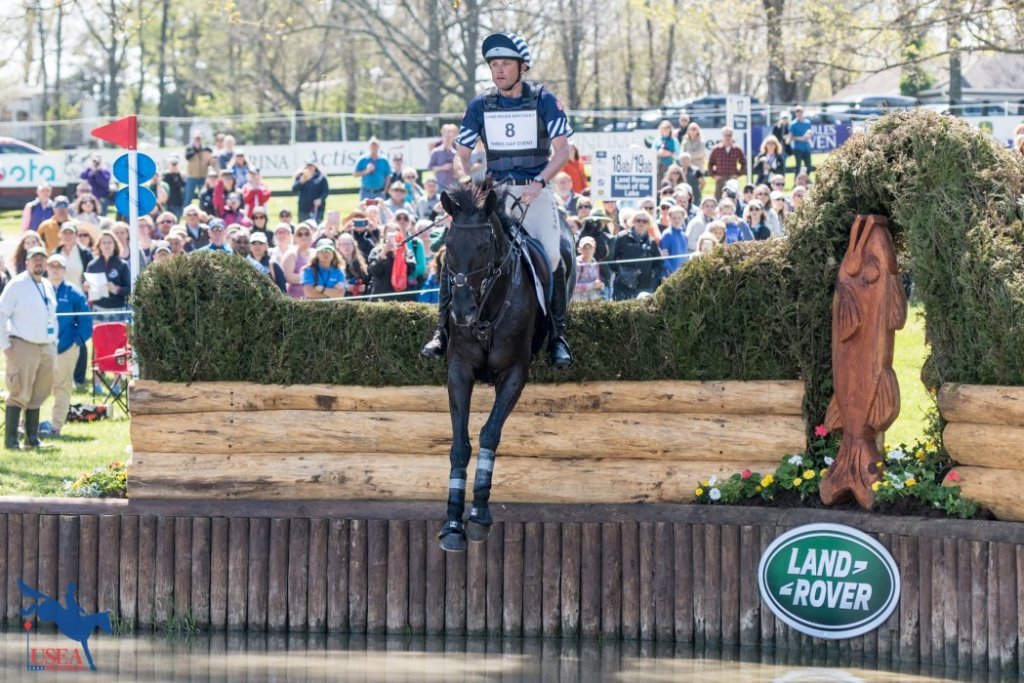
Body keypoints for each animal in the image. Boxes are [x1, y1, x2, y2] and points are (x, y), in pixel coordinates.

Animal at [436, 182, 560, 552]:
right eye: (449, 244)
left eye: (483, 246)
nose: (461, 312)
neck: (486, 312)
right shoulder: (459, 371)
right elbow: (460, 444)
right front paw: (452, 523)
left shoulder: (514, 375)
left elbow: (489, 433)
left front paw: (478, 515)